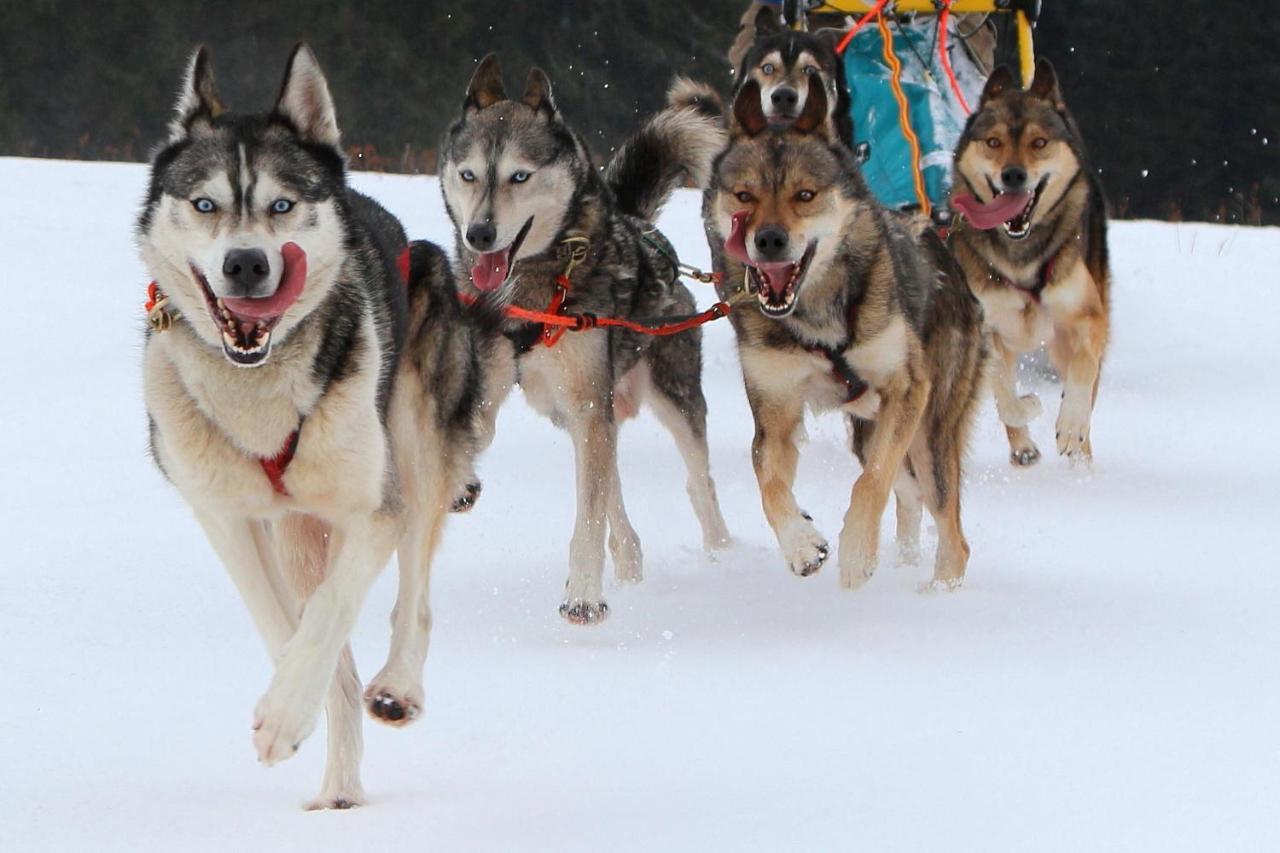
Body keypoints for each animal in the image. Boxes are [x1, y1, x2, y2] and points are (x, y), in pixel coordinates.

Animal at [706, 76, 983, 589]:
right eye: (744, 195)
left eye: (805, 195)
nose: (768, 240)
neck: (814, 318)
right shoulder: (776, 413)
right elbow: (769, 485)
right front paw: (801, 544)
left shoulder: (907, 389)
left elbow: (869, 482)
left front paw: (857, 550)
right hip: (870, 434)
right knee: (909, 493)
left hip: (928, 434)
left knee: (952, 535)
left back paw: (940, 594)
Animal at [952, 58, 1111, 466]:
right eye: (993, 142)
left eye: (1039, 143)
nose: (1013, 175)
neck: (1021, 256)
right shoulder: (988, 328)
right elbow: (1005, 395)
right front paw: (1028, 411)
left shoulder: (1087, 318)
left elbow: (1082, 373)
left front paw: (1071, 426)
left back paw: (1081, 455)